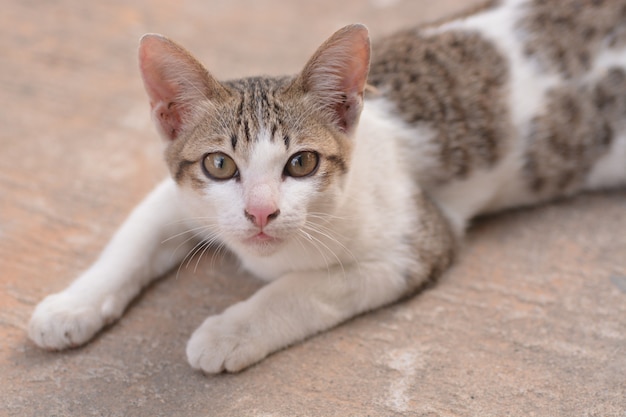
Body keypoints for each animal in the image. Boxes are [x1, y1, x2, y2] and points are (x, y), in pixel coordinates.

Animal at [28, 0, 624, 372]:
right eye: (220, 165)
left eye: (302, 163)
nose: (260, 213)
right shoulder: (180, 193)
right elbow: (134, 235)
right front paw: (72, 305)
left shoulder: (417, 243)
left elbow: (304, 288)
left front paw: (229, 331)